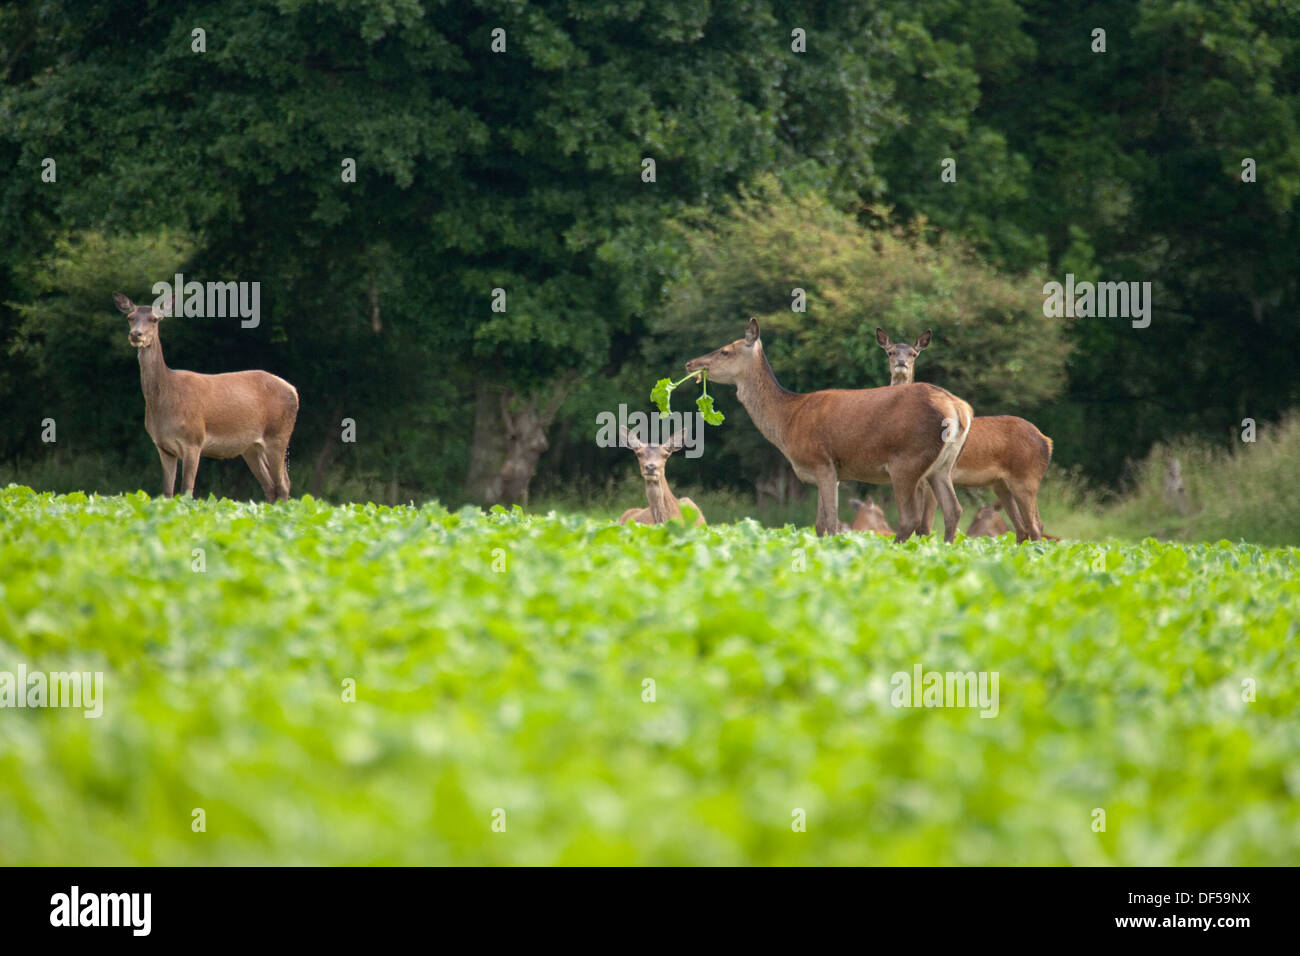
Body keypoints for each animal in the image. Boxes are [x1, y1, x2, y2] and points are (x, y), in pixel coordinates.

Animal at [114, 292, 299, 501]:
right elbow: (167, 492)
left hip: (278, 435)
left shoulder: (194, 440)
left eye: (154, 319)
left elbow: (186, 490)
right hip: (251, 448)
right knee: (270, 486)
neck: (165, 399)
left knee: (283, 483)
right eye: (130, 318)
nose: (135, 334)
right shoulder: (163, 447)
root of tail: (294, 390)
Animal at [685, 318, 973, 541]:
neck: (787, 422)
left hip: (906, 460)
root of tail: (958, 409)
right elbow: (819, 524)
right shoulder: (829, 472)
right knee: (954, 510)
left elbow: (831, 523)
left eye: (725, 351)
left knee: (910, 518)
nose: (690, 364)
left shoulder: (821, 461)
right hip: (943, 466)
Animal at [876, 327, 1053, 543]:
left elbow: (924, 527)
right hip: (1002, 485)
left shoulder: (929, 479)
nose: (901, 363)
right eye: (890, 352)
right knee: (1022, 528)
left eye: (913, 353)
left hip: (1027, 478)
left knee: (1036, 525)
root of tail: (1047, 442)